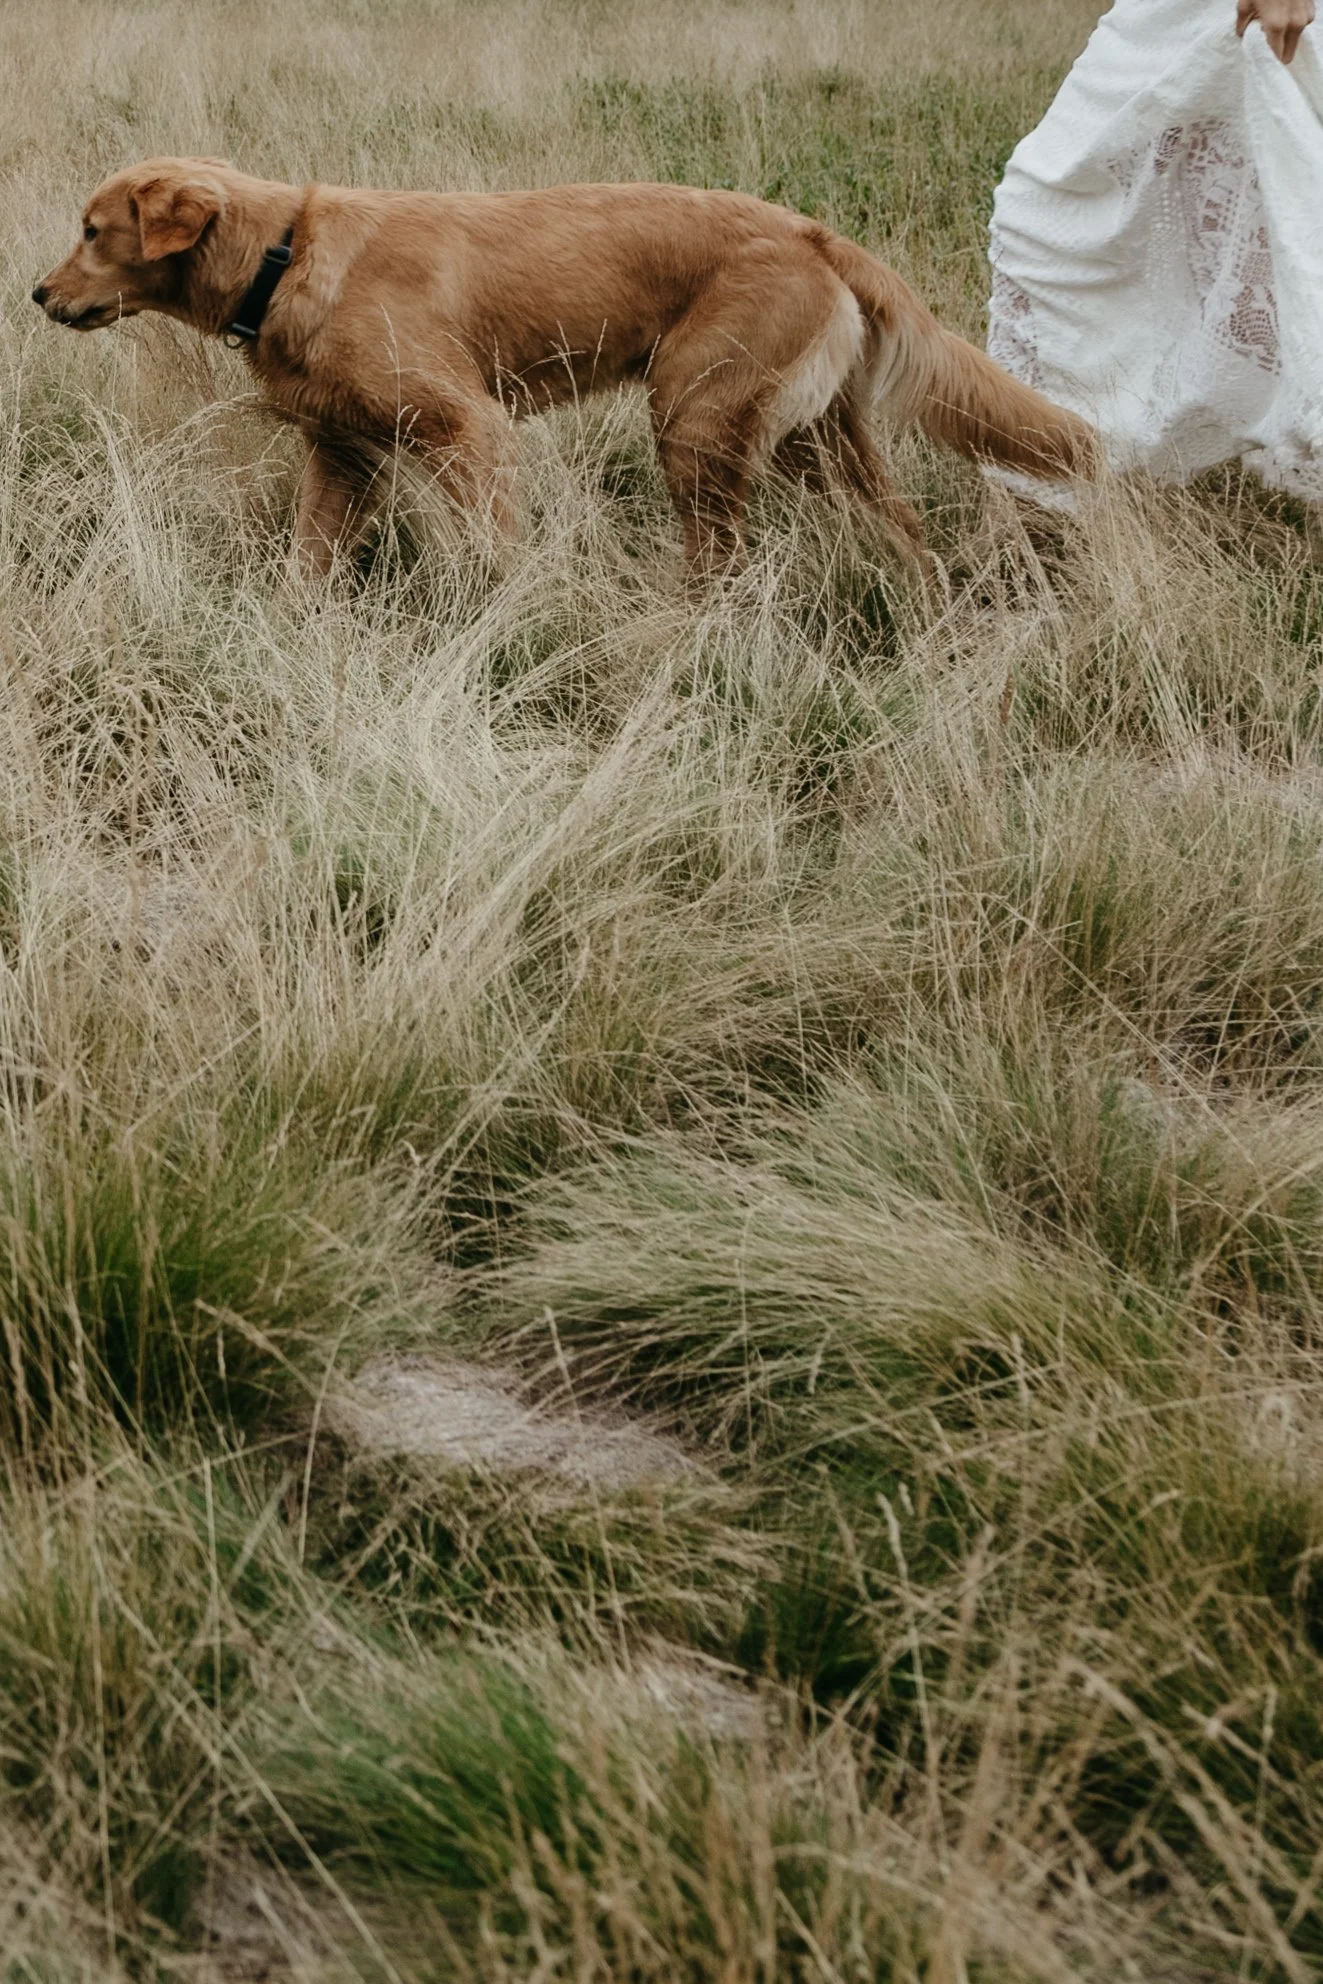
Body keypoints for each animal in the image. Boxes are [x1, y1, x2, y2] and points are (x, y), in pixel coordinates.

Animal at [33, 157, 1095, 582]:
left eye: (91, 231)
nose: (38, 295)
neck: (283, 253)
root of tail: (809, 230)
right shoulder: (344, 454)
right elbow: (307, 562)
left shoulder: (466, 428)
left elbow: (492, 553)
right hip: (811, 437)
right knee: (904, 534)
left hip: (696, 418)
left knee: (719, 561)